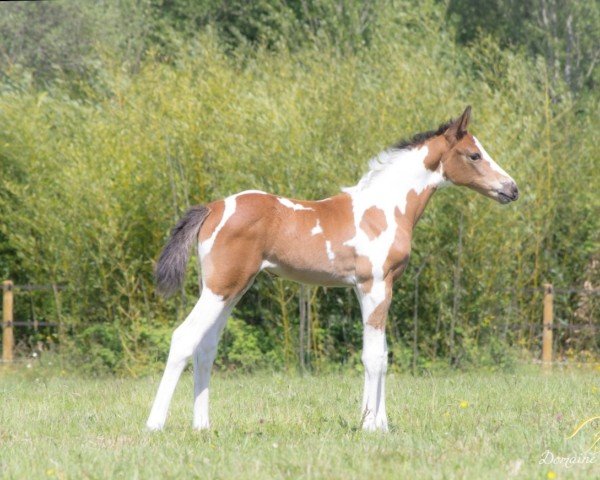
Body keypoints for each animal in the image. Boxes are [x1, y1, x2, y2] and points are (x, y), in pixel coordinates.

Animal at [145, 106, 516, 432]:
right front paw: (370, 426)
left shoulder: (377, 287)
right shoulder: (373, 285)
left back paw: (202, 426)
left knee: (205, 347)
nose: (511, 188)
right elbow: (373, 357)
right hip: (220, 288)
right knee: (184, 338)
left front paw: (379, 423)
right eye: (474, 155)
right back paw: (154, 424)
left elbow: (381, 354)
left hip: (232, 289)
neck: (384, 209)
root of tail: (212, 208)